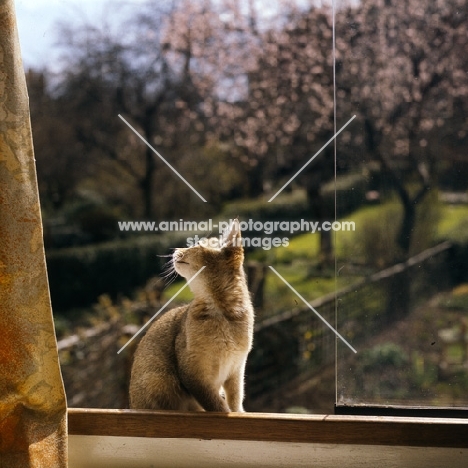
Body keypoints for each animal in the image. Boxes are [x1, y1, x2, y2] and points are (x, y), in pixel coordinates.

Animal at [128, 218, 254, 410]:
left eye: (198, 244)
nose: (175, 250)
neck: (221, 313)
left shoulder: (236, 369)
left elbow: (235, 399)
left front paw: (239, 413)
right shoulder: (194, 374)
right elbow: (216, 404)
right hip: (158, 379)